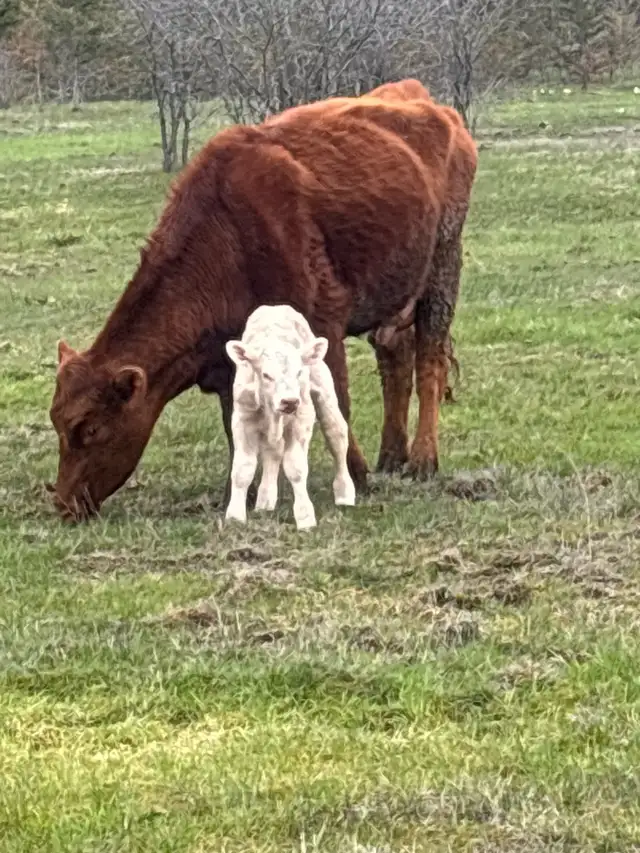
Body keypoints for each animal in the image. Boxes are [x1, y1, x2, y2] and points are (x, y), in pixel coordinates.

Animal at [224, 304, 355, 529]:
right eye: (266, 375)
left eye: (299, 372)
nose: (290, 401)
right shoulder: (242, 418)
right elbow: (242, 469)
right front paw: (235, 517)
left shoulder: (301, 419)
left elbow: (296, 467)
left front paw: (305, 518)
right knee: (274, 451)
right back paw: (265, 502)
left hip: (324, 391)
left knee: (336, 436)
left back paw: (344, 494)